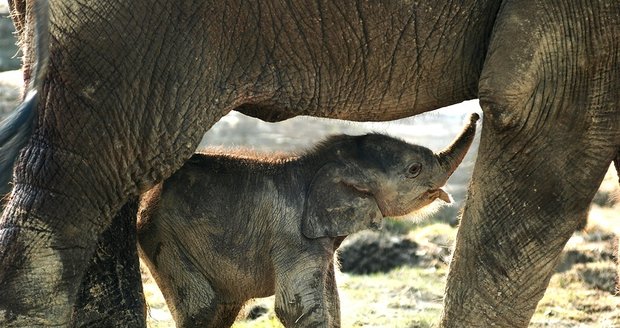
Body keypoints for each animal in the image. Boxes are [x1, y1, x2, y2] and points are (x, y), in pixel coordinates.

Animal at [137, 114, 480, 326]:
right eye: (414, 169)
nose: (477, 115)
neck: (314, 164)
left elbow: (331, 302)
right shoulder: (294, 237)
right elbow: (296, 308)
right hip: (165, 240)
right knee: (205, 309)